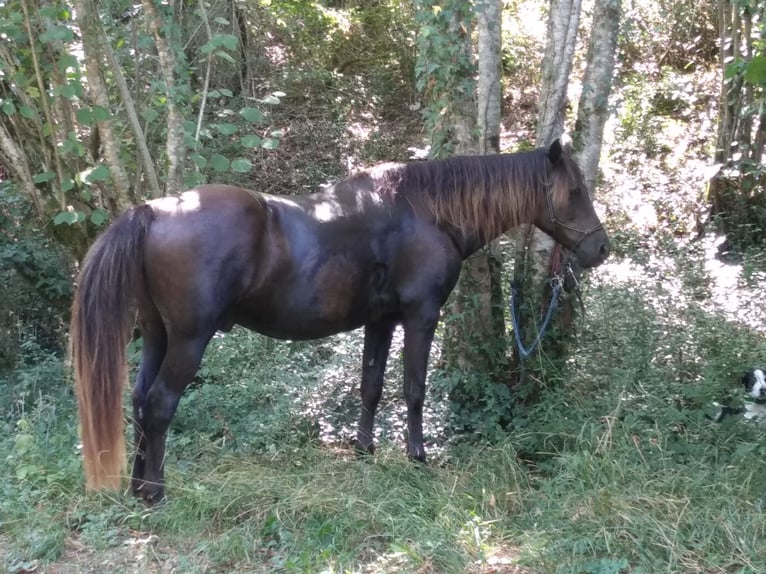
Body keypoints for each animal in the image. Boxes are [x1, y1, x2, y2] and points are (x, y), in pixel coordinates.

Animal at [72, 140, 612, 504]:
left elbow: (371, 386)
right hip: (188, 340)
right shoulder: (420, 317)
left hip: (158, 337)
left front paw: (365, 450)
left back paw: (137, 487)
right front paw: (417, 457)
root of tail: (153, 211)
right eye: (574, 191)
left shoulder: (382, 322)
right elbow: (413, 389)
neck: (426, 213)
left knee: (140, 400)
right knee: (161, 405)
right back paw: (156, 492)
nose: (601, 249)